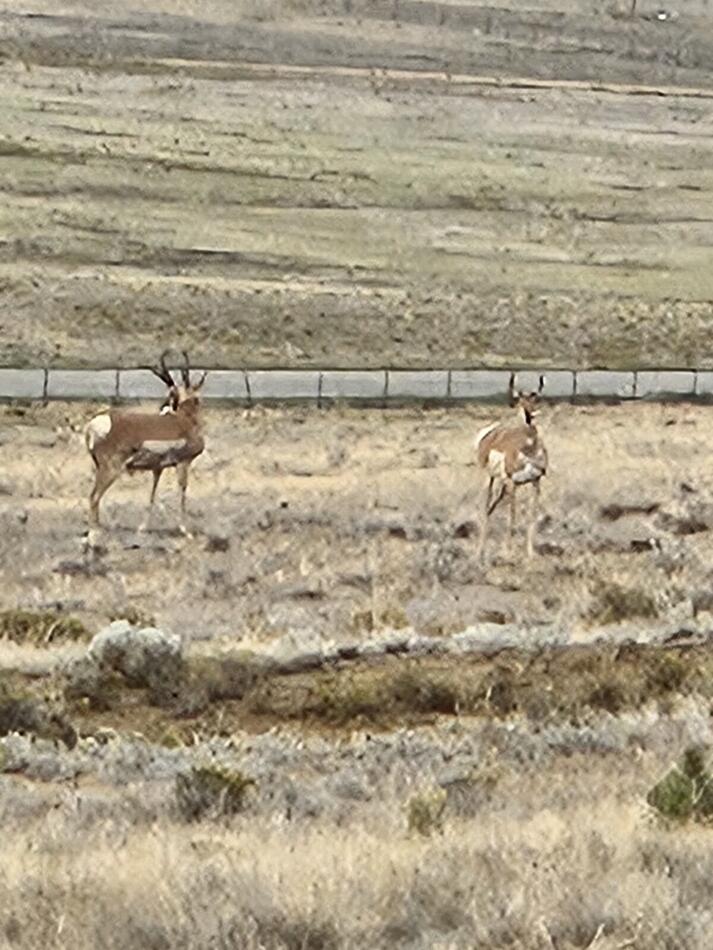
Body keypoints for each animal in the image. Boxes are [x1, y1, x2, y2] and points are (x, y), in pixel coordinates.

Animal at [84, 351, 207, 535]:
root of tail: (98, 422)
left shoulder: (158, 469)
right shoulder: (183, 463)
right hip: (111, 470)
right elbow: (182, 492)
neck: (184, 420)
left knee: (95, 496)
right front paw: (185, 530)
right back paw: (96, 531)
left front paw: (142, 527)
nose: (163, 408)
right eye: (198, 399)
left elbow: (152, 494)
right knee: (94, 496)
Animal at [474, 373, 548, 563]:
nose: (530, 416)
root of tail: (489, 434)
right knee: (485, 508)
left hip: (502, 486)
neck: (528, 447)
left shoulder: (535, 482)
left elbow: (531, 517)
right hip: (490, 480)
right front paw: (508, 552)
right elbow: (512, 518)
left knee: (491, 508)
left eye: (534, 400)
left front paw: (530, 553)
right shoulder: (513, 483)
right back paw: (480, 552)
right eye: (521, 402)